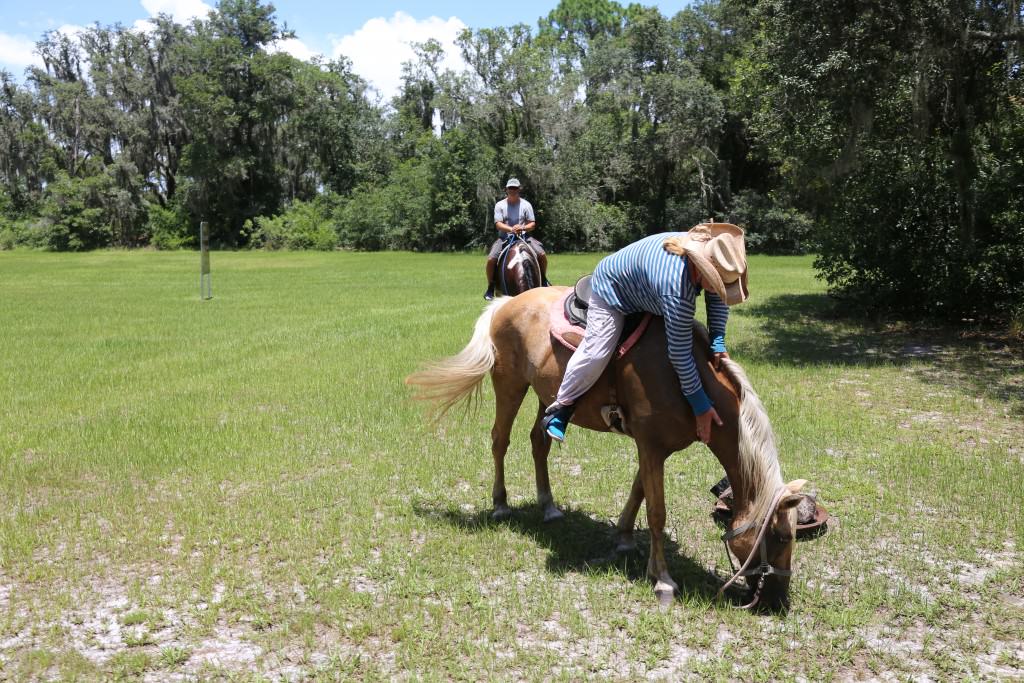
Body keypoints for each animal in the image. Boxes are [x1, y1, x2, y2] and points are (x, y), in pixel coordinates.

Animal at [407, 286, 806, 610]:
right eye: (782, 536)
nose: (778, 601)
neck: (684, 379)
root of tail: (506, 302)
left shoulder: (652, 447)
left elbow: (638, 491)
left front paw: (624, 538)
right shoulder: (651, 446)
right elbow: (657, 511)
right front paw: (662, 580)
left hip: (546, 396)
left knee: (539, 442)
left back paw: (548, 506)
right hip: (509, 385)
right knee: (499, 440)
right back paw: (501, 504)